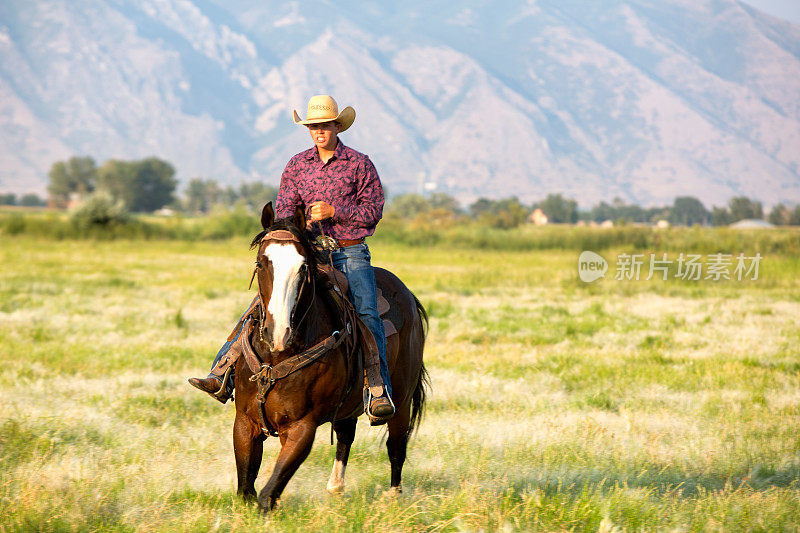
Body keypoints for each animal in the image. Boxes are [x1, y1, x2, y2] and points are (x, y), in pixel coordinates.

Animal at [231, 202, 428, 510]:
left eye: (303, 267)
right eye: (261, 263)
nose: (278, 332)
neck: (276, 358)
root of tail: (408, 295)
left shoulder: (302, 428)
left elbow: (267, 494)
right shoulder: (244, 422)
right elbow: (245, 490)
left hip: (402, 399)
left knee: (396, 446)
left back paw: (392, 498)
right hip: (349, 403)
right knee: (347, 434)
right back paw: (335, 488)